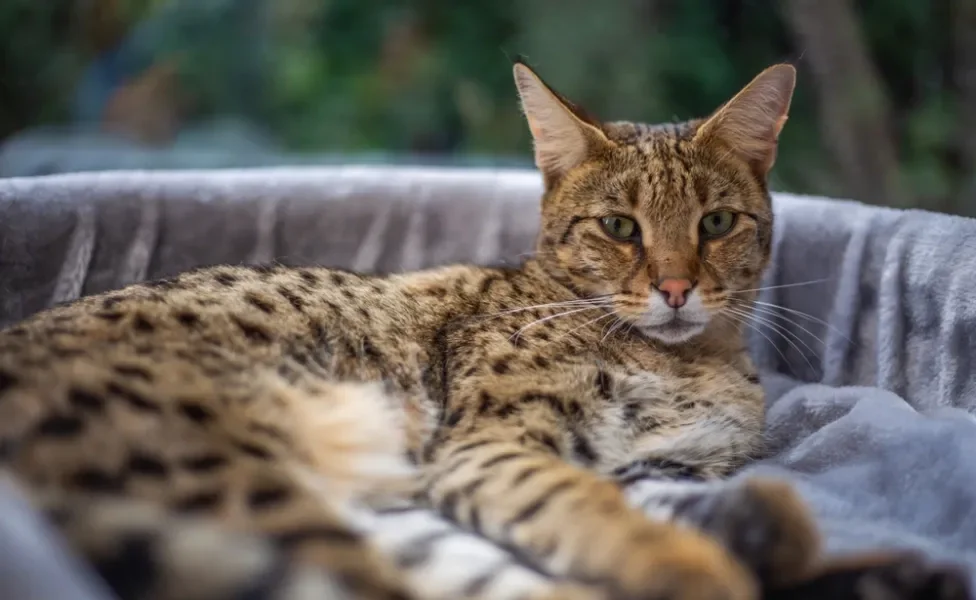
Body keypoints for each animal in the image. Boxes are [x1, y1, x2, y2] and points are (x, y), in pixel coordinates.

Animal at [0, 62, 964, 600]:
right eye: (620, 228)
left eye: (719, 222)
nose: (676, 287)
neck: (683, 359)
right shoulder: (491, 445)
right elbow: (598, 516)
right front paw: (709, 571)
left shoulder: (662, 465)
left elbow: (666, 507)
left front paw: (773, 540)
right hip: (245, 482)